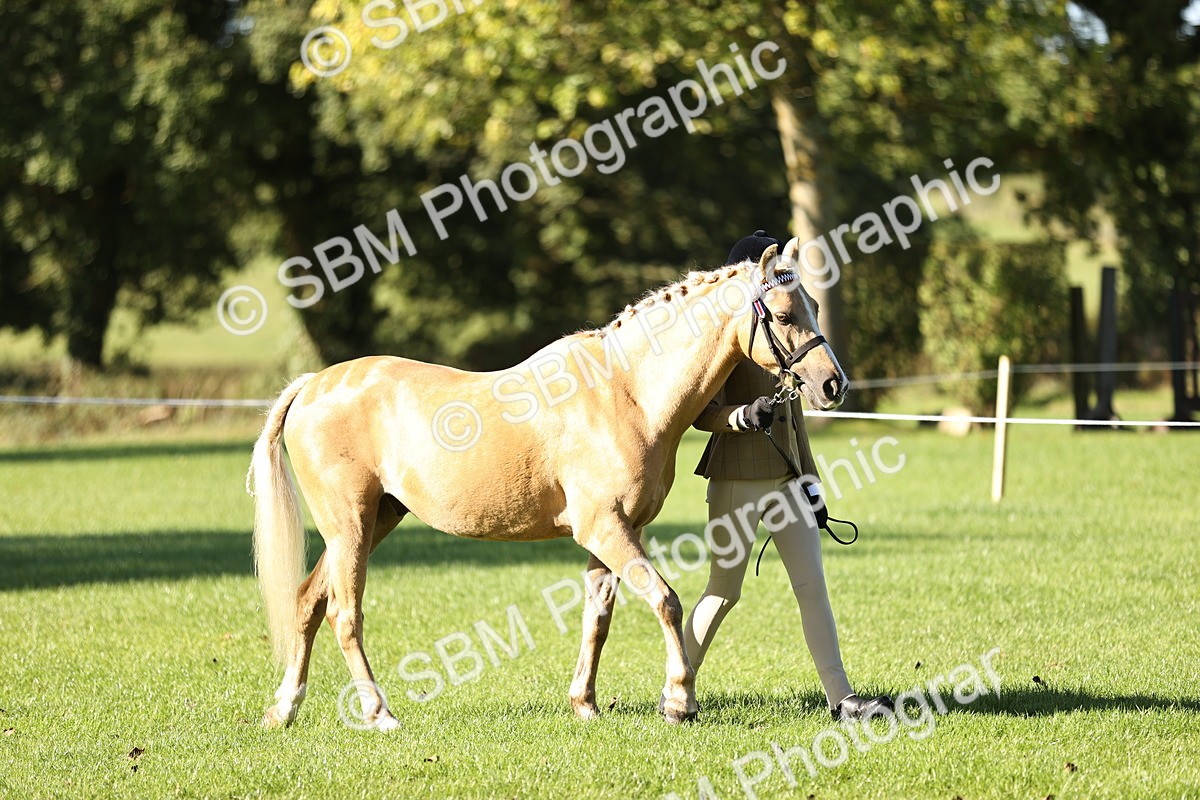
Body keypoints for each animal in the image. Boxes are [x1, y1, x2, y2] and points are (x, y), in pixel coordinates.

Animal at [247, 239, 849, 730]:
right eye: (783, 312)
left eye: (815, 307)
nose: (832, 384)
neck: (624, 393)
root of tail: (313, 384)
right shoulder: (604, 529)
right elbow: (666, 600)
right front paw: (680, 702)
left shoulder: (615, 534)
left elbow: (598, 619)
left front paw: (585, 703)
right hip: (349, 527)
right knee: (344, 615)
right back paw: (378, 713)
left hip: (375, 520)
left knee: (308, 602)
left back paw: (285, 709)